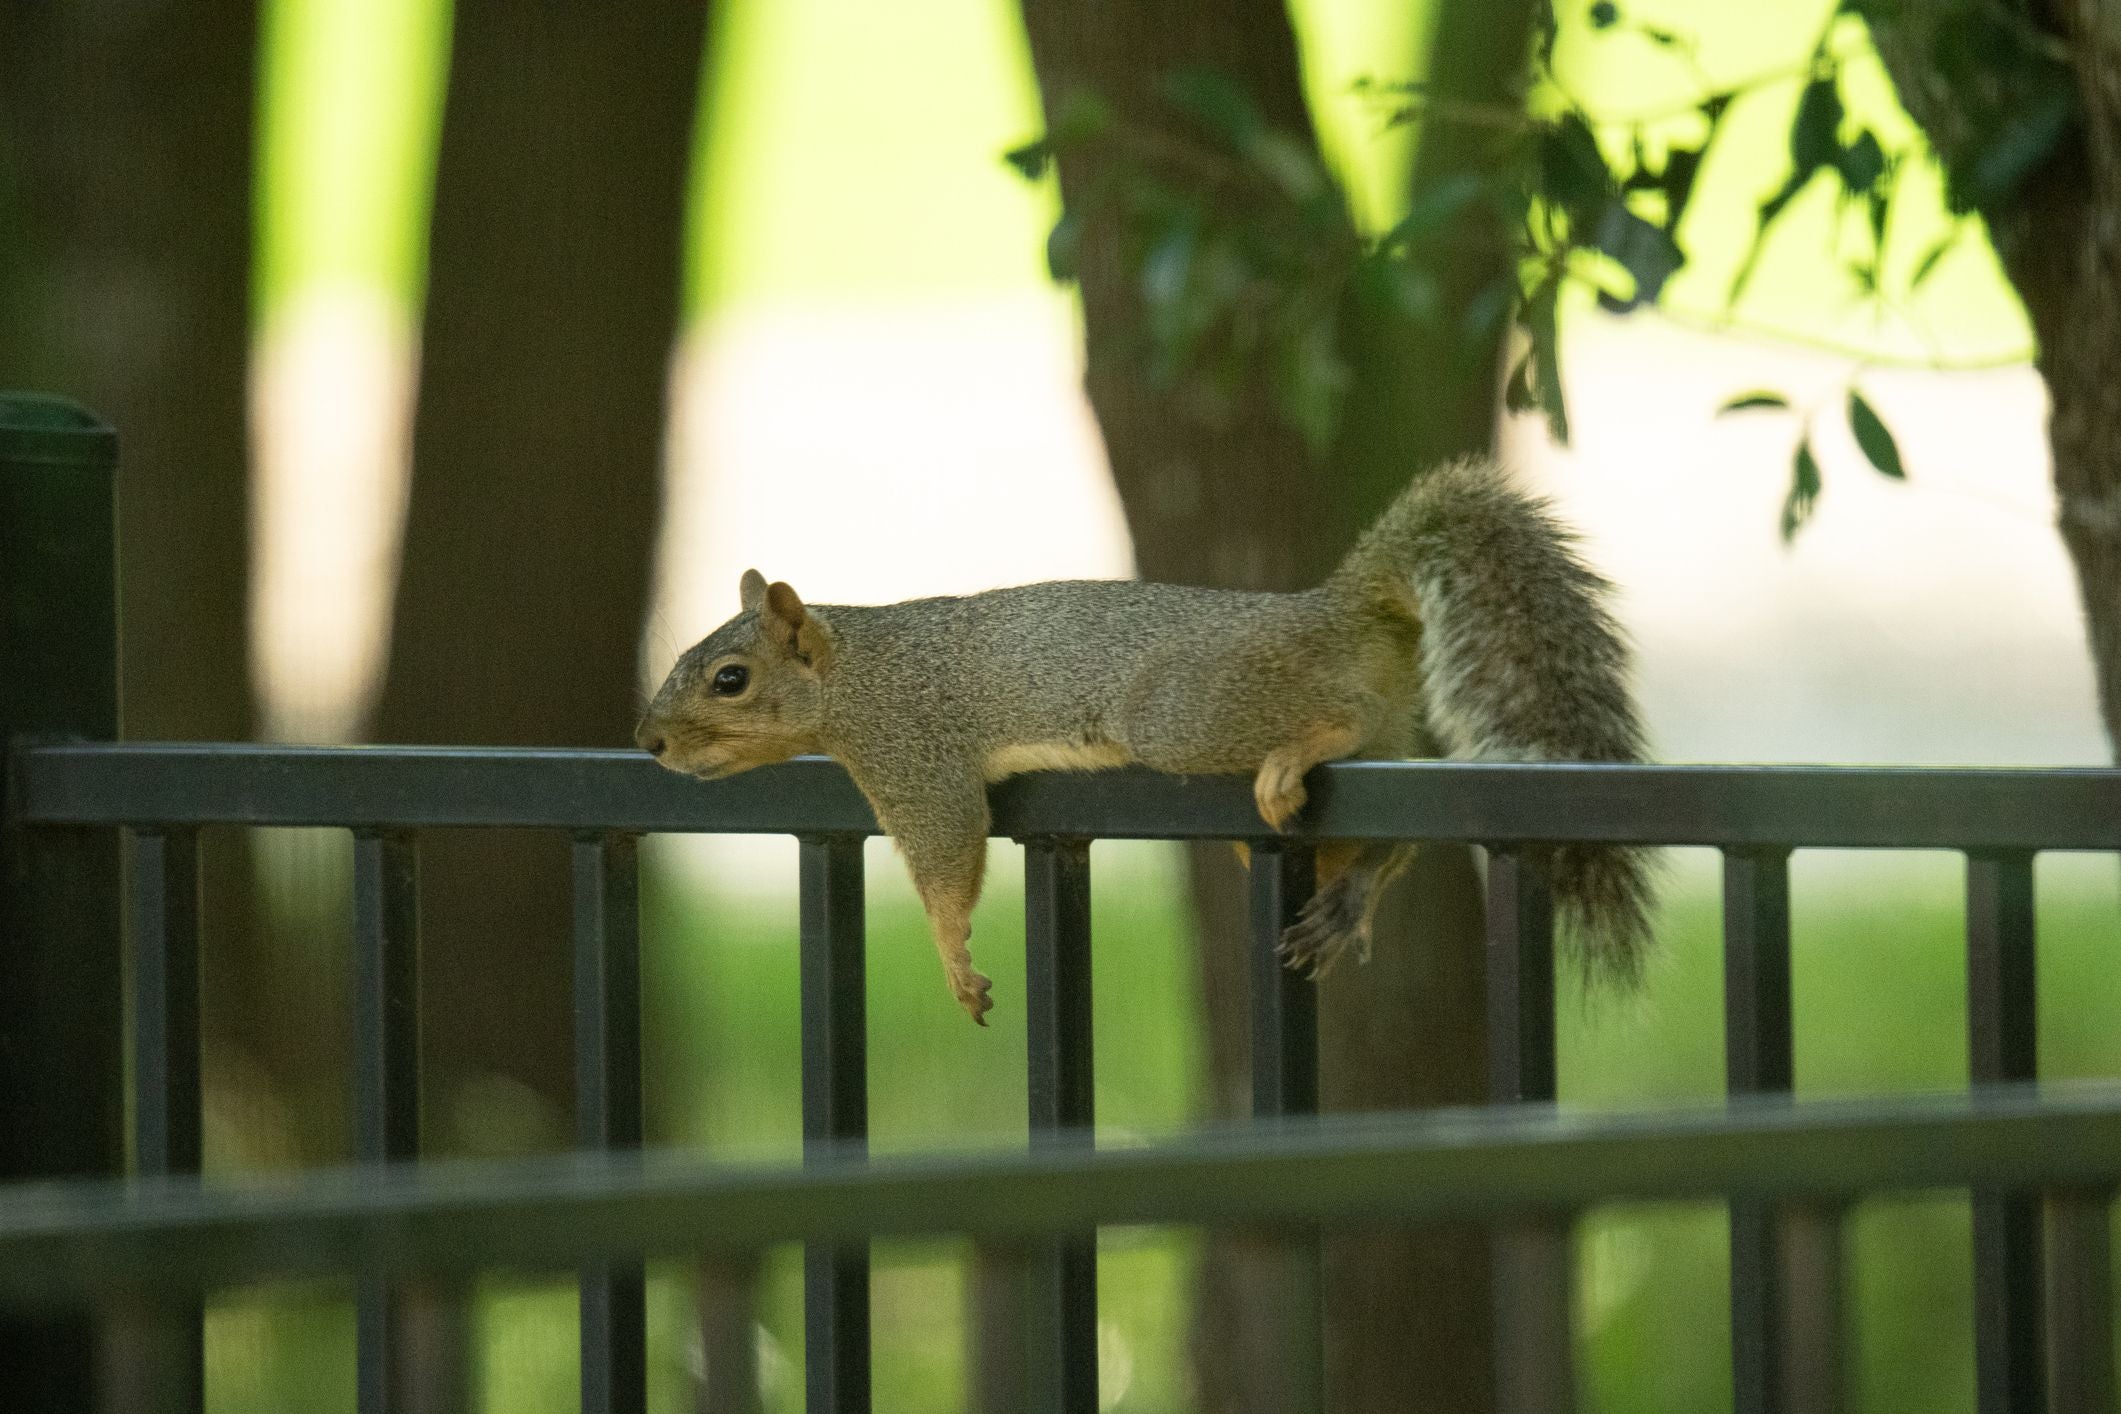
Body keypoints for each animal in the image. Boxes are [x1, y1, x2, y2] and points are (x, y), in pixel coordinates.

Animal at [637, 456, 1654, 1025]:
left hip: (1179, 713)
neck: (854, 674)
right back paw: (1350, 896)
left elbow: (948, 858)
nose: (649, 743)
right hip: (1371, 728)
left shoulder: (914, 755)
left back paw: (1296, 764)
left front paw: (955, 963)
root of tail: (1337, 608)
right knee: (1391, 805)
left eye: (729, 679)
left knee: (1336, 726)